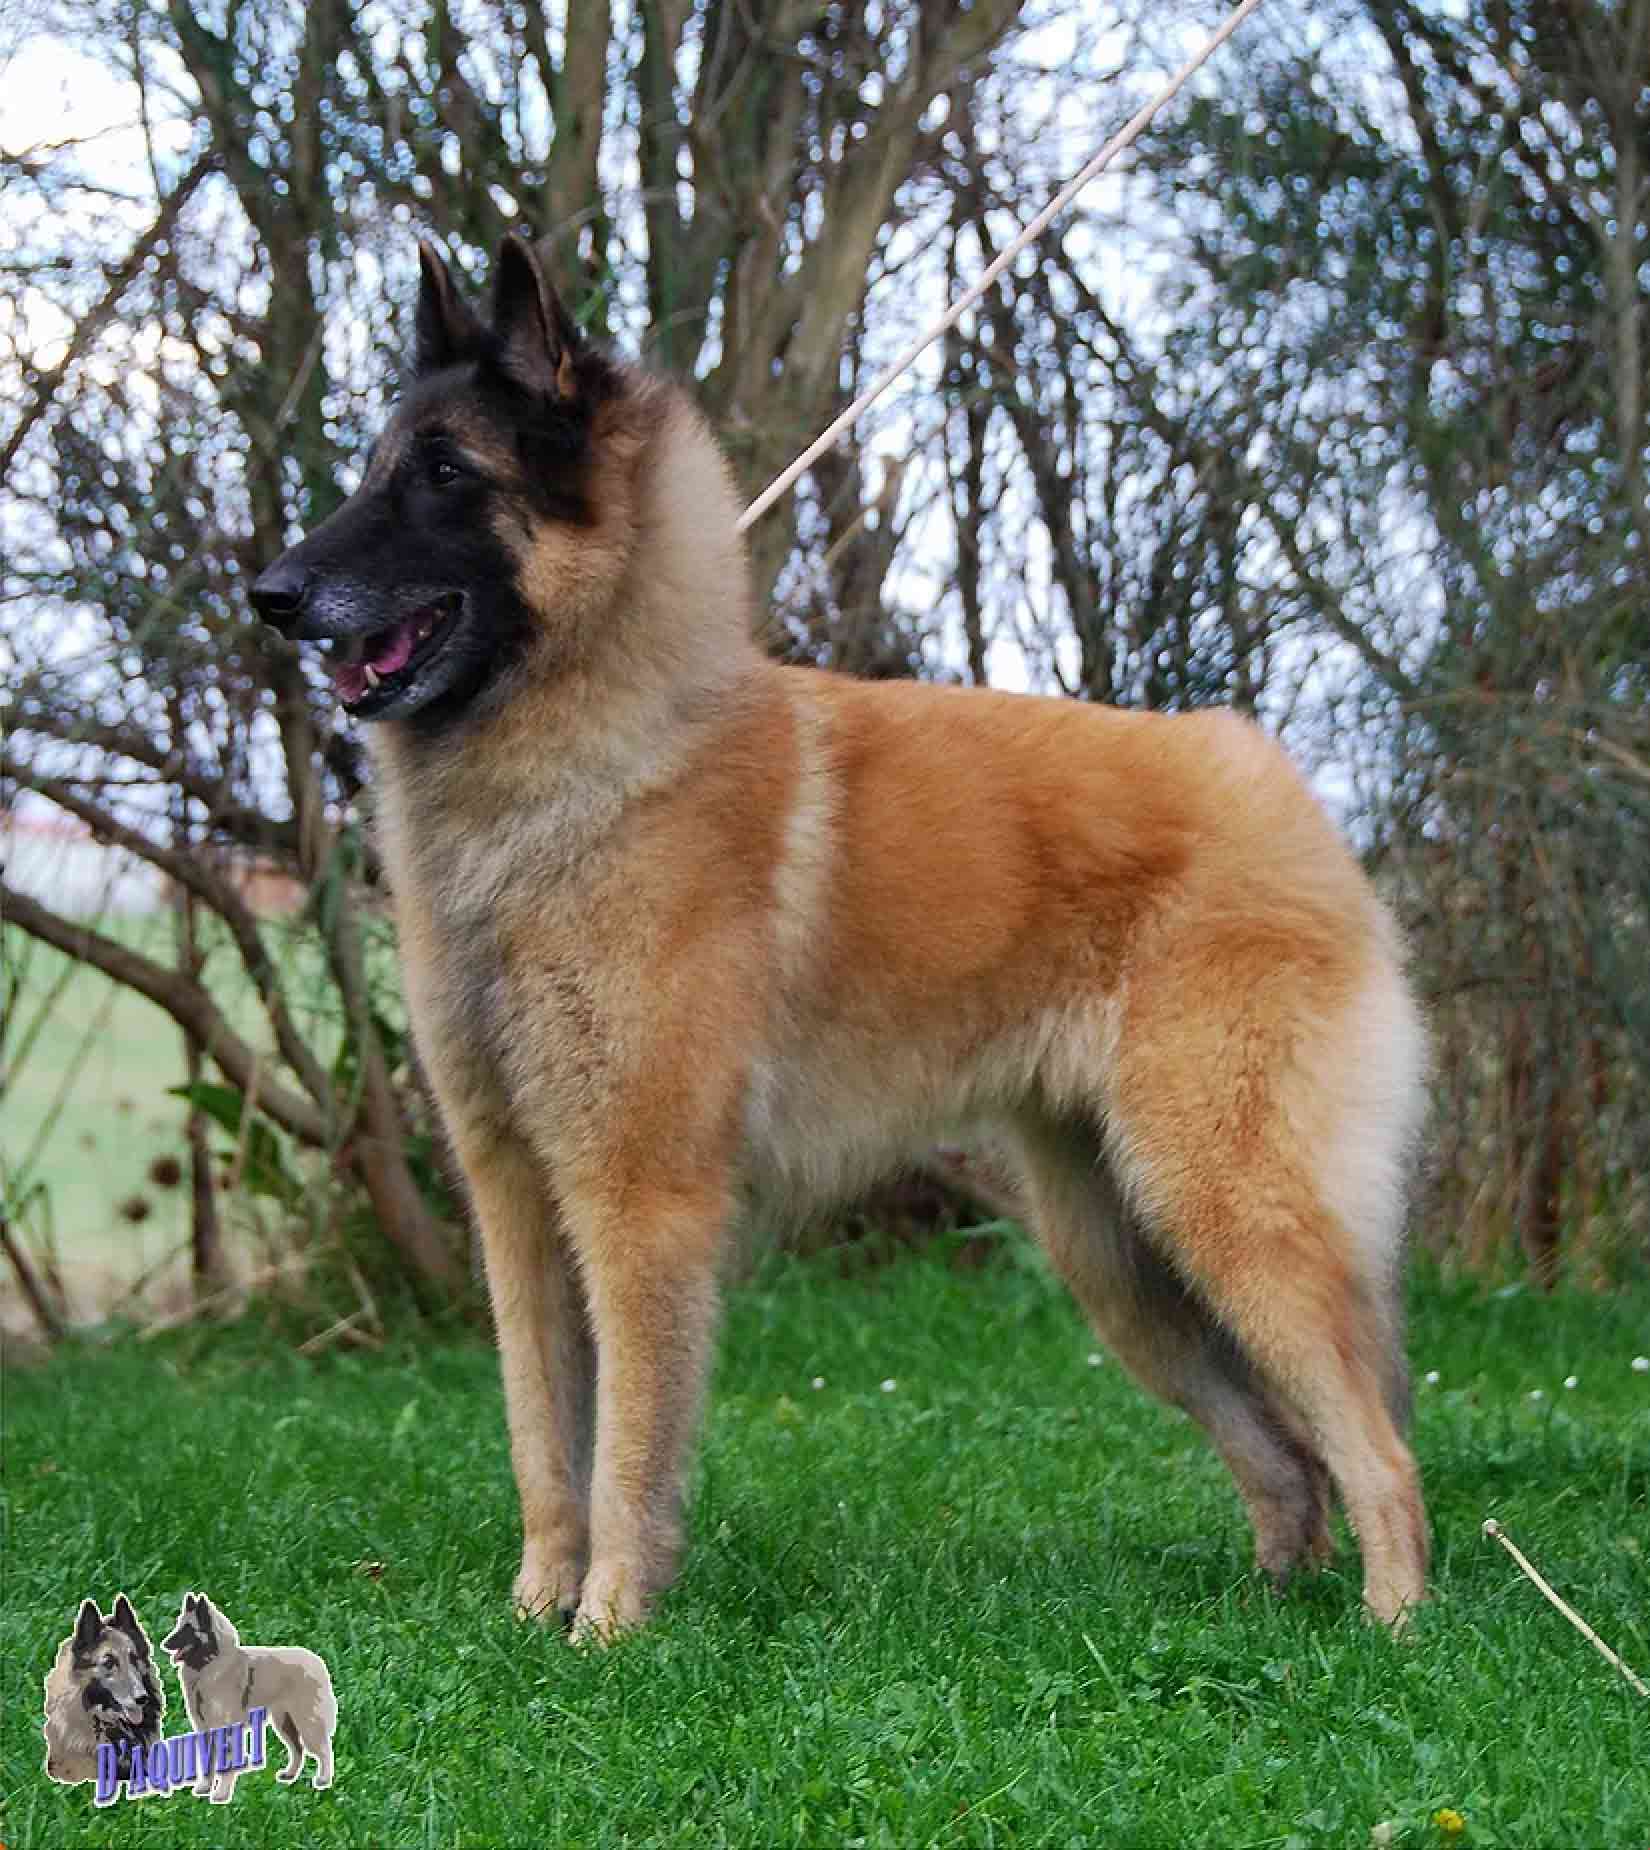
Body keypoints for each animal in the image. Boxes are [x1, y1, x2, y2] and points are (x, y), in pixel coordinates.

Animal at [161, 1594, 335, 1801]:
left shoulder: (226, 1728)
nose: (164, 1644)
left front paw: (221, 1793)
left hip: (306, 1722)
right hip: (284, 1723)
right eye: (179, 1625)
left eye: (188, 1629)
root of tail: (317, 1660)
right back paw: (290, 1774)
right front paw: (205, 1787)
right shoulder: (204, 1729)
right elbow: (208, 1761)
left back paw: (323, 1780)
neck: (210, 1663)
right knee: (298, 1749)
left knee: (324, 1749)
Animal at [251, 234, 1430, 1641]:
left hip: (1223, 1204)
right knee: (1287, 1449)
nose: (270, 594)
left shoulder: (637, 1203)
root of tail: (1274, 779)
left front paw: (608, 1628)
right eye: (379, 466)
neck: (602, 757)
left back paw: (1393, 1628)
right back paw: (1272, 1606)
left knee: (1378, 1446)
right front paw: (537, 1613)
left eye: (443, 475)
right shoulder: (518, 1199)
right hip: (1122, 1259)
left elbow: (626, 1446)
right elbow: (546, 1439)